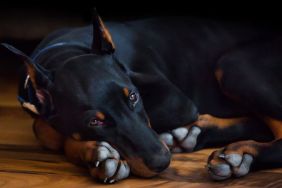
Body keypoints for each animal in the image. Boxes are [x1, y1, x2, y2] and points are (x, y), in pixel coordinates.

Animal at [2, 13, 282, 184]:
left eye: (134, 97)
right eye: (94, 122)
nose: (162, 162)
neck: (66, 52)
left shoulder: (176, 101)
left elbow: (47, 129)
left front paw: (99, 155)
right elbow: (44, 128)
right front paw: (97, 153)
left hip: (233, 65)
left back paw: (240, 156)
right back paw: (191, 135)